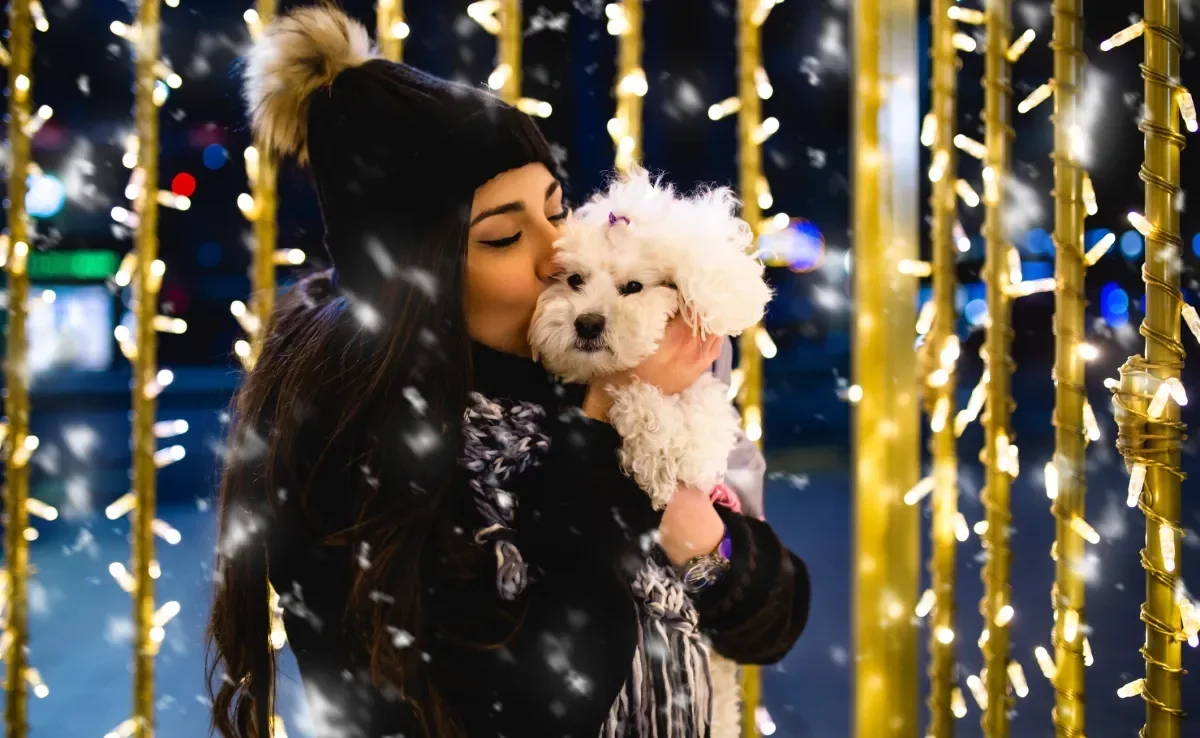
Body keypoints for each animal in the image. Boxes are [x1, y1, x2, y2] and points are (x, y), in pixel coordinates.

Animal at [530, 165, 772, 513]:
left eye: (633, 287)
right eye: (575, 279)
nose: (587, 324)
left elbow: (697, 425)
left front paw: (661, 458)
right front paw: (655, 458)